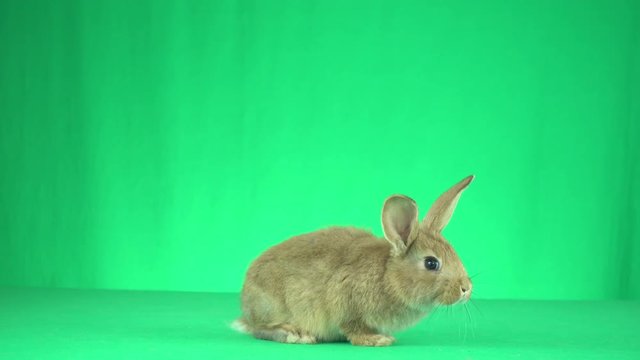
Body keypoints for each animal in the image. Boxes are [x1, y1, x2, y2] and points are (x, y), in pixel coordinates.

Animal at [232, 176, 472, 348]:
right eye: (431, 263)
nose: (466, 289)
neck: (387, 275)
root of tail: (247, 305)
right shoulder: (345, 304)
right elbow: (354, 329)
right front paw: (377, 340)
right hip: (272, 306)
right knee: (261, 329)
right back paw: (296, 334)